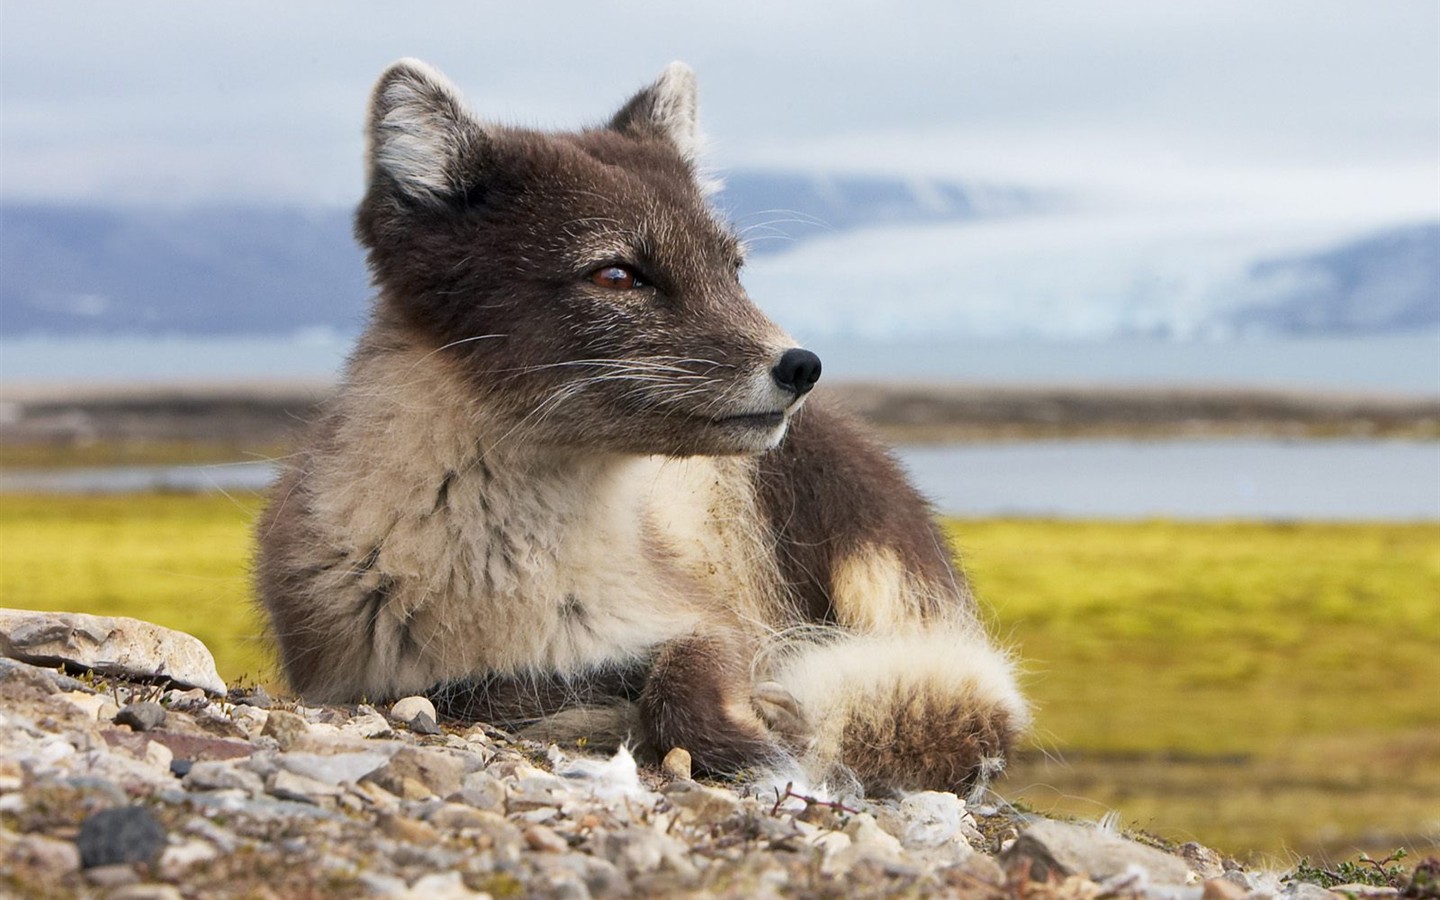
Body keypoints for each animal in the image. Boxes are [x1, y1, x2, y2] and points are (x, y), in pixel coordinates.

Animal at [256, 57, 1025, 794]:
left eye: (733, 269)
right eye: (618, 275)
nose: (802, 366)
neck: (509, 583)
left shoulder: (708, 619)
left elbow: (686, 680)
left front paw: (755, 736)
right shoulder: (366, 675)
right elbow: (479, 692)